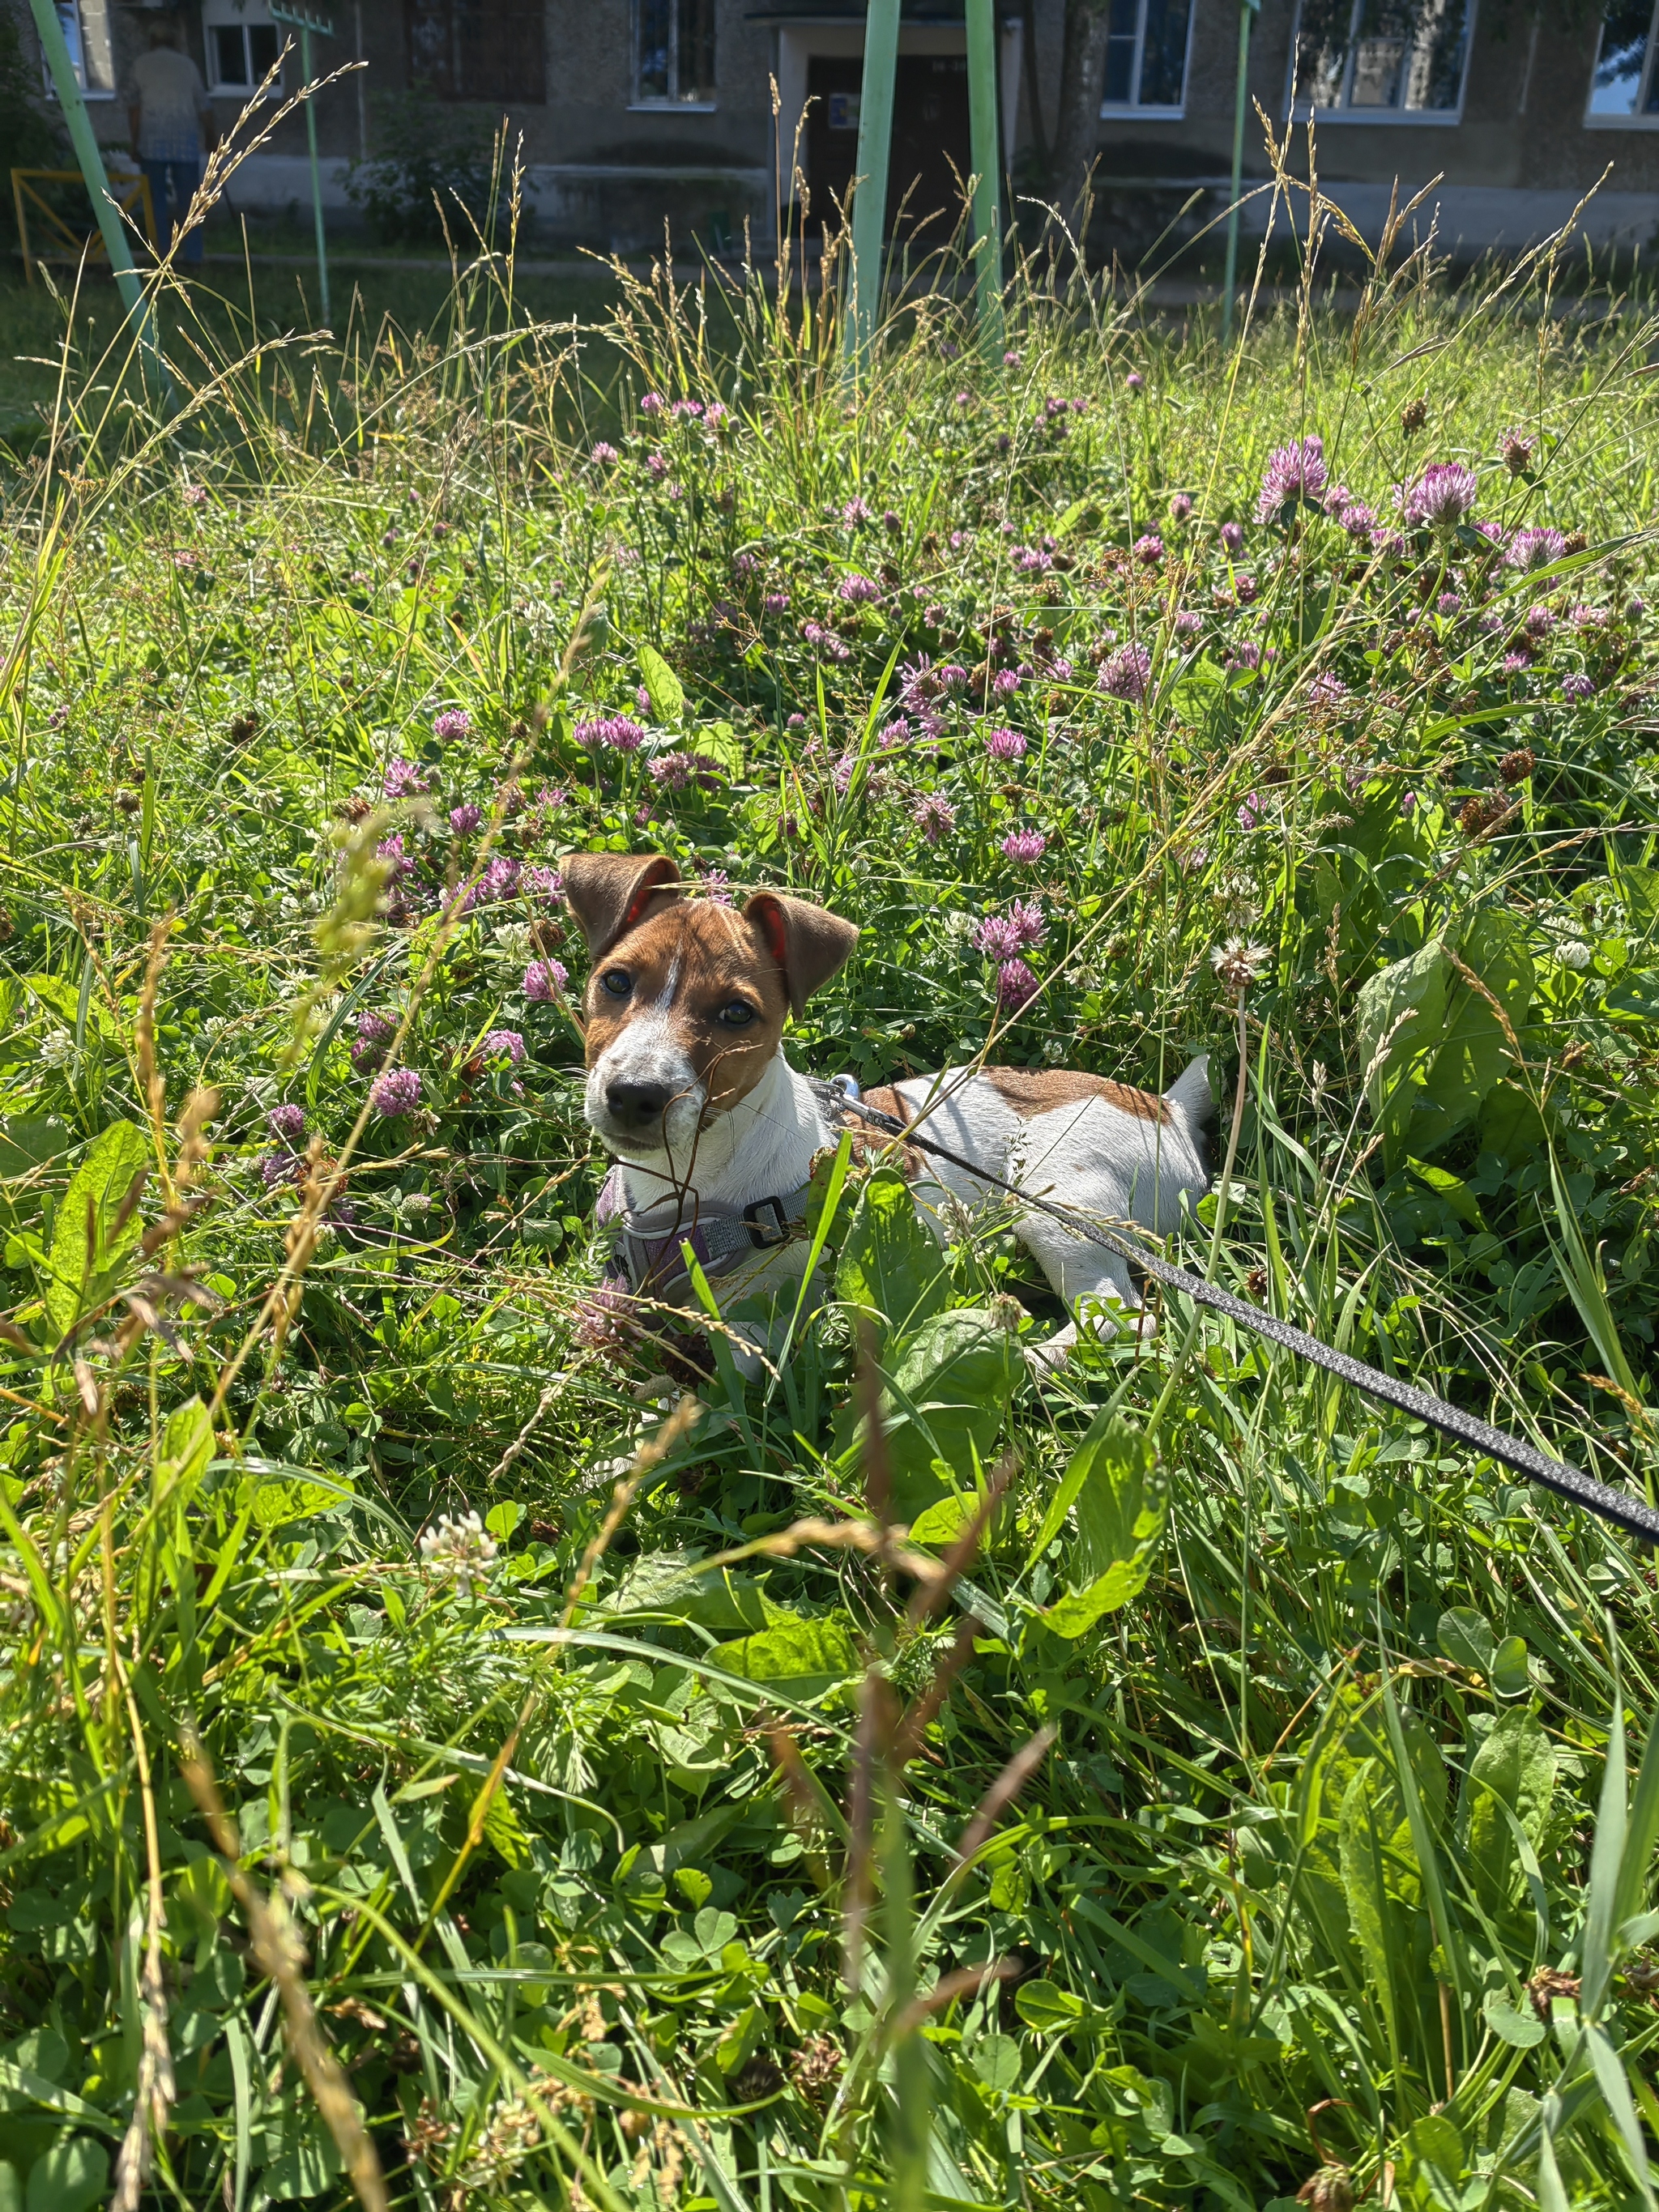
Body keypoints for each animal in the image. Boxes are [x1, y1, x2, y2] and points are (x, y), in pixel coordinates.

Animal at [566, 845, 1212, 1362]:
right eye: (616, 981)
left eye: (737, 1014)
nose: (635, 1094)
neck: (690, 1183)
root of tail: (1166, 1108)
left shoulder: (764, 1329)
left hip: (1059, 1201)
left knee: (1118, 1318)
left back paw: (1018, 1359)